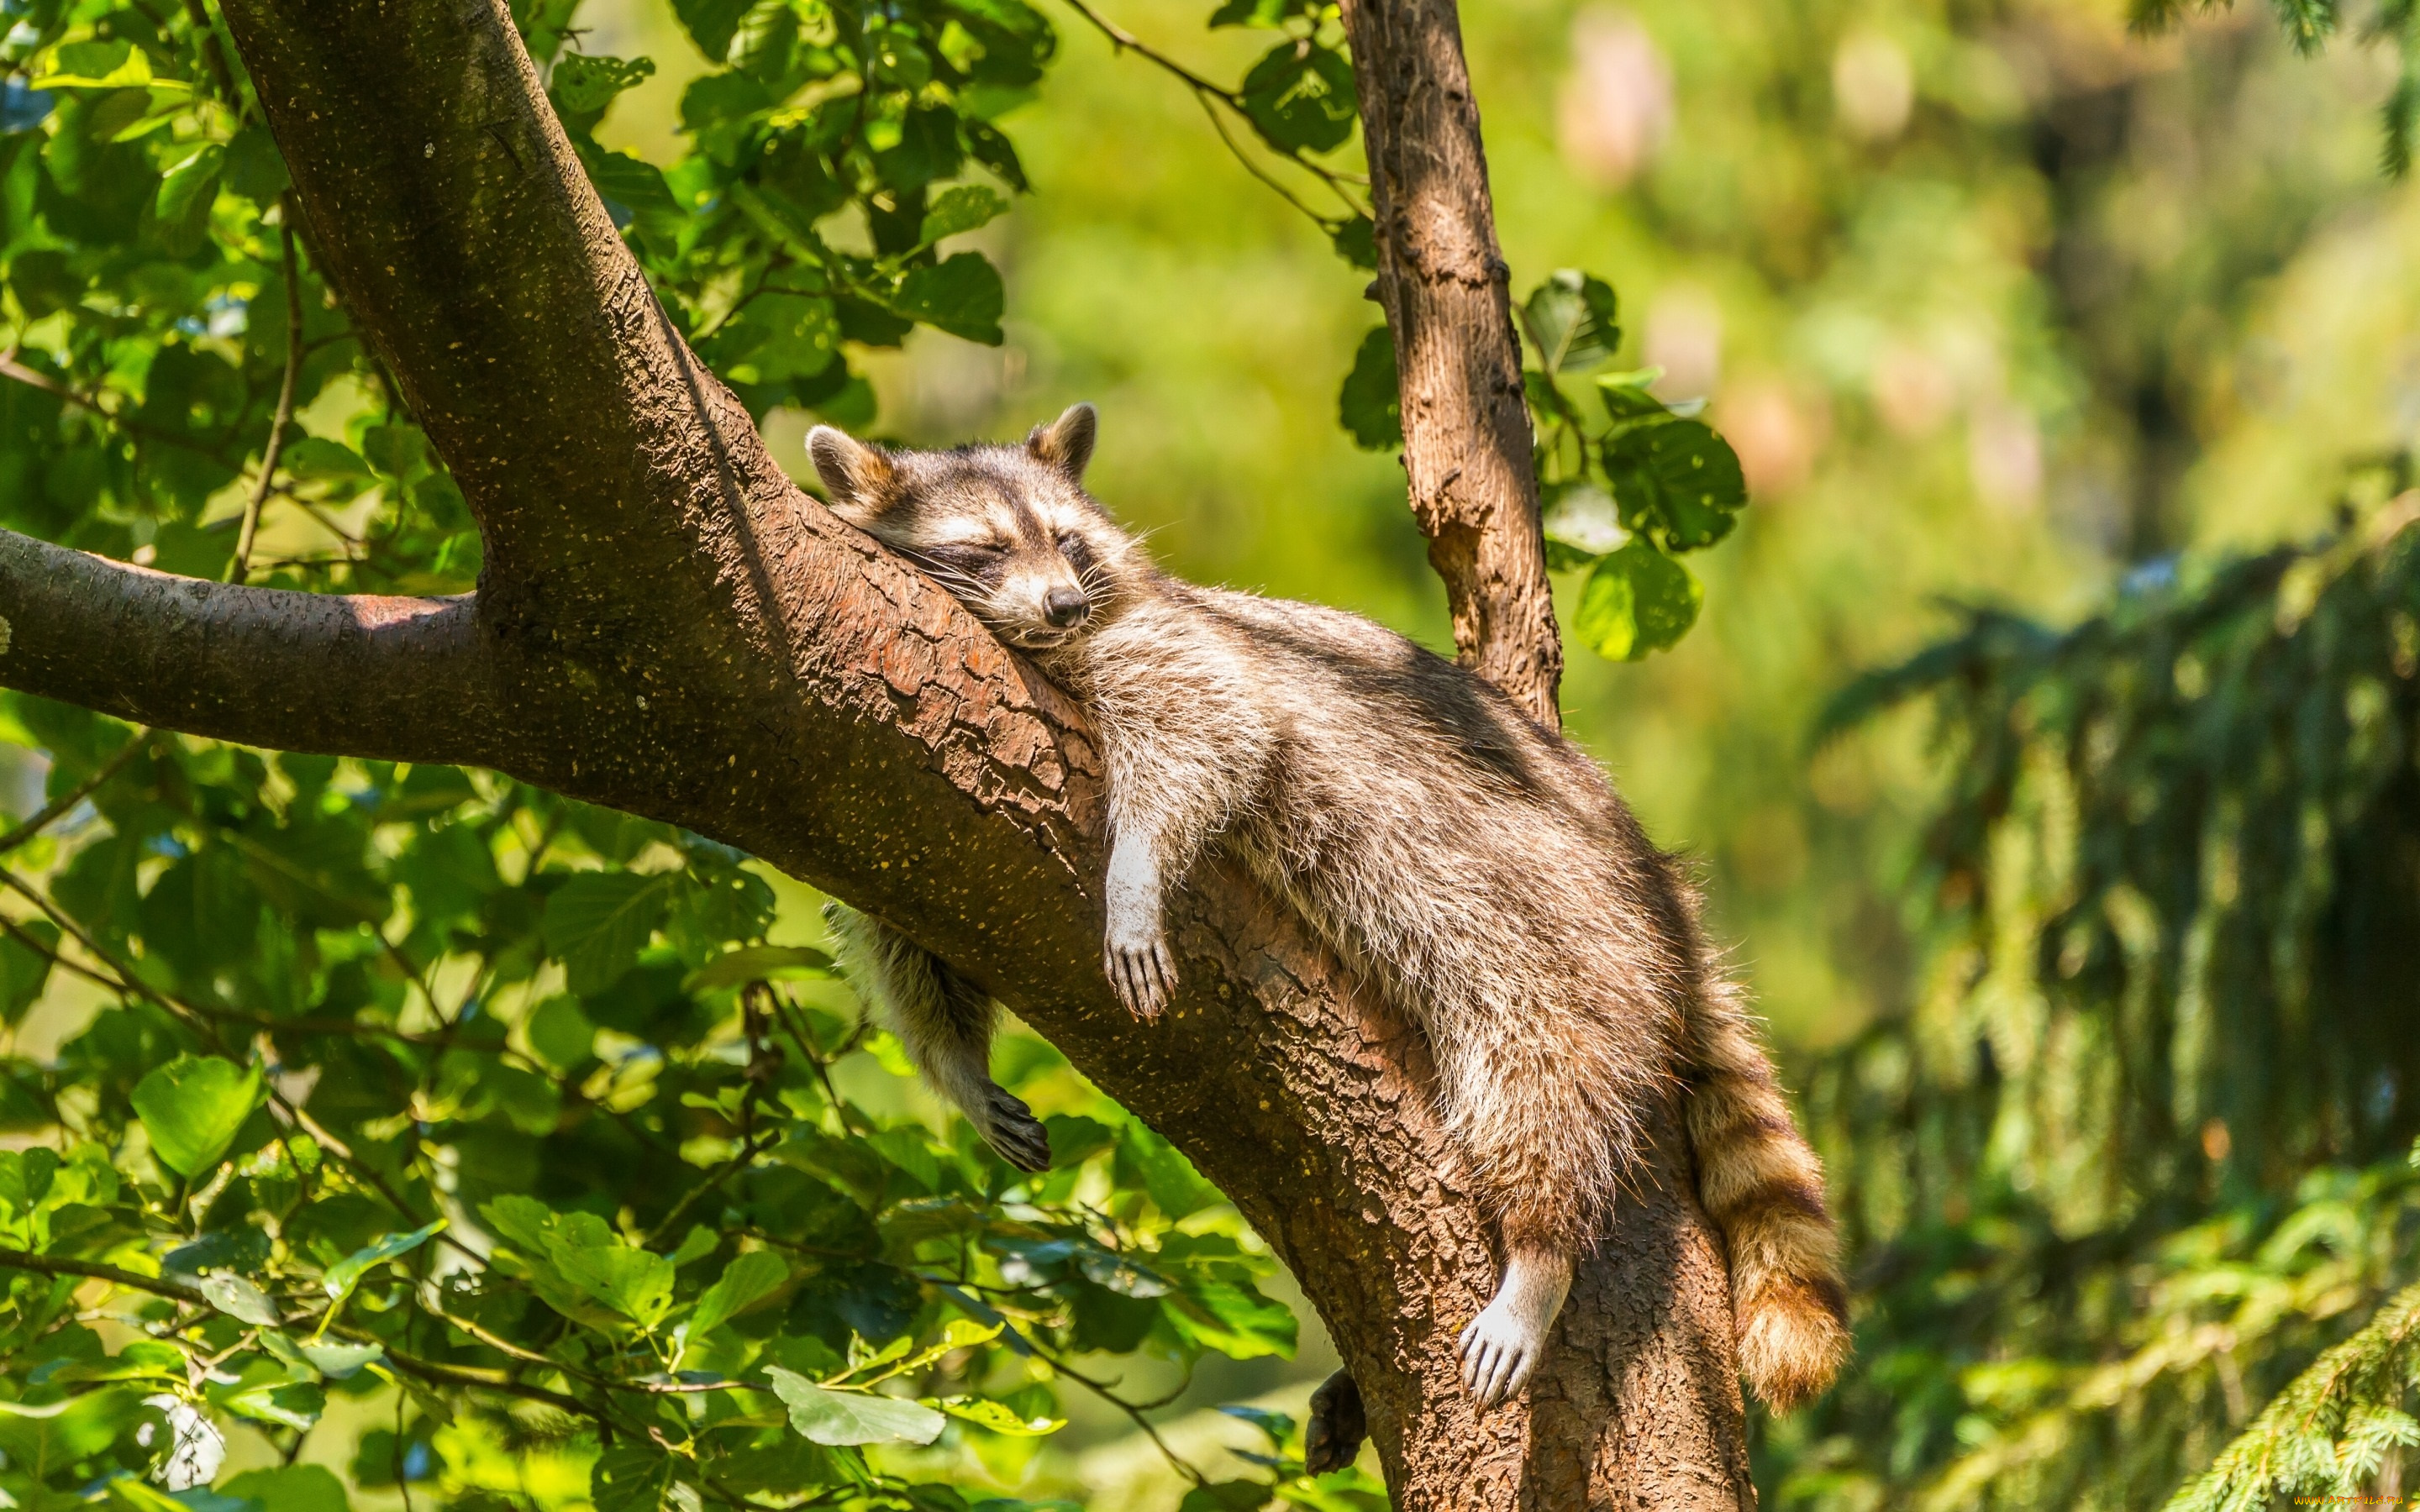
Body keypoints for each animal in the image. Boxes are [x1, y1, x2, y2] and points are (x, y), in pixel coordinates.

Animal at [803, 402, 1839, 1412]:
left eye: (1066, 541)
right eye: (985, 548)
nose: (1063, 602)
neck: (1049, 638)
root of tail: (1655, 881)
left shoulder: (1172, 647)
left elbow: (1216, 733)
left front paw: (1135, 875)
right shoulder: (894, 790)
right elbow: (905, 931)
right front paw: (956, 1067)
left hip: (1560, 918)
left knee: (1542, 1068)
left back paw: (1544, 1246)